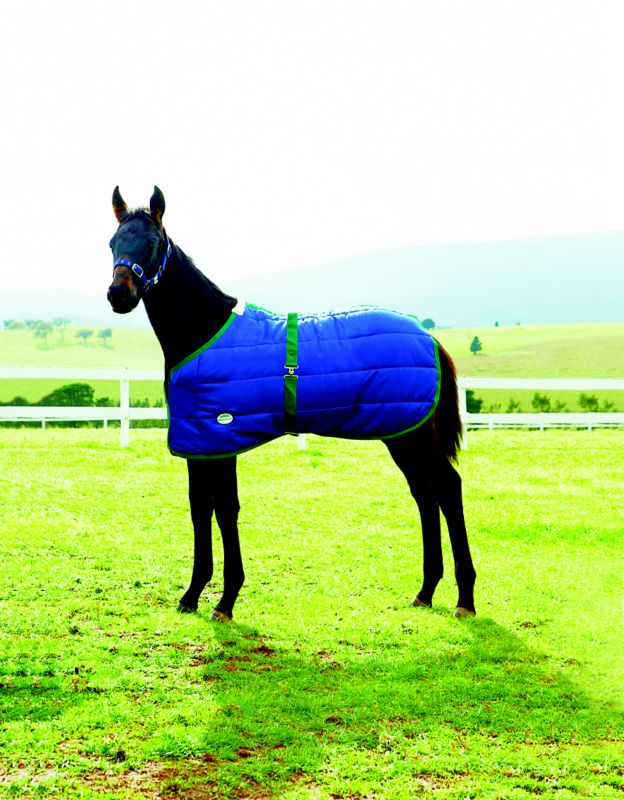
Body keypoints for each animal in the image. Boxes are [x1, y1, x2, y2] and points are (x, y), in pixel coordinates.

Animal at [107, 186, 477, 622]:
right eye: (112, 243)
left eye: (151, 243)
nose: (119, 295)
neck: (205, 331)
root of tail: (429, 338)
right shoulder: (201, 443)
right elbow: (202, 508)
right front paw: (194, 595)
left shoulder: (219, 438)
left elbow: (223, 508)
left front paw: (224, 600)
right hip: (402, 433)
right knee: (425, 494)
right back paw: (425, 591)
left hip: (413, 435)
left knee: (447, 488)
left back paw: (465, 599)